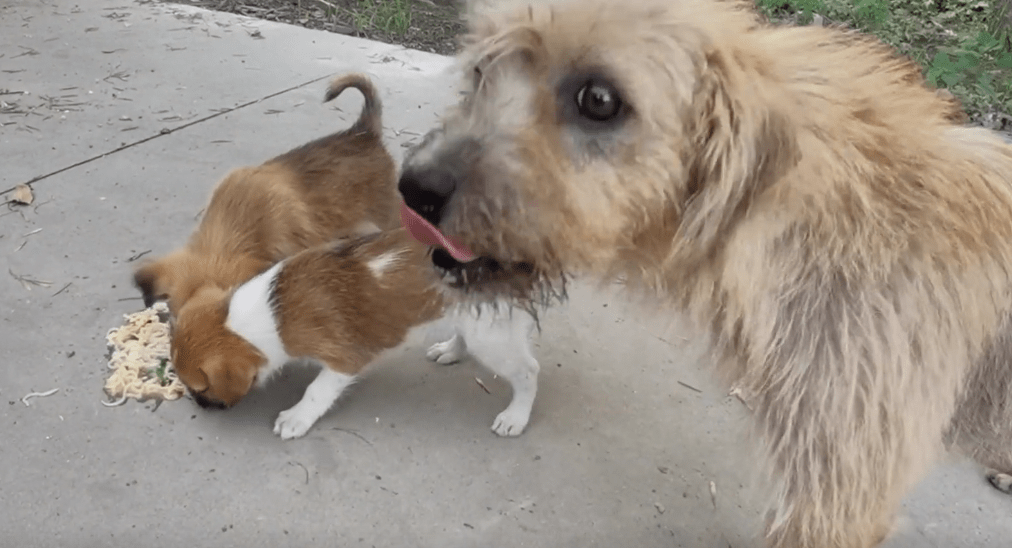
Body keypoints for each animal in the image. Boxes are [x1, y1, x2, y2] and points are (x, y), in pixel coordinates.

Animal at [172, 229, 546, 440]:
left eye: (200, 388)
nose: (200, 407)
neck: (268, 311)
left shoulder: (344, 359)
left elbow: (316, 391)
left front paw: (296, 419)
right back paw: (449, 350)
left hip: (492, 338)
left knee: (529, 372)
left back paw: (515, 417)